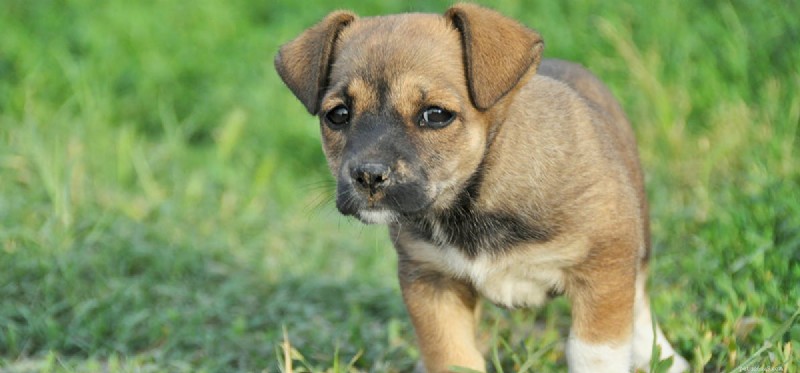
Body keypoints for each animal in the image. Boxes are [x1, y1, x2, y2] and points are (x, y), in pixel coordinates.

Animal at [274, 3, 688, 372]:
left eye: (436, 115)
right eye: (338, 115)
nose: (369, 176)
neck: (476, 198)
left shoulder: (604, 267)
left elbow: (595, 353)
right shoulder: (432, 284)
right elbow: (452, 358)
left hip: (638, 244)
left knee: (640, 306)